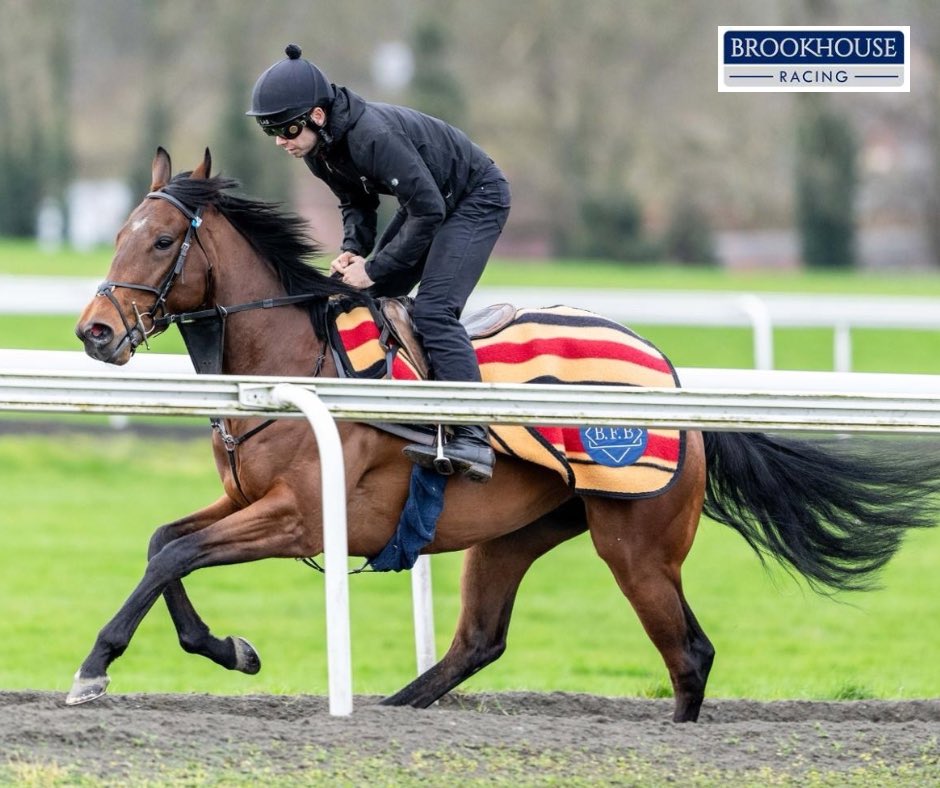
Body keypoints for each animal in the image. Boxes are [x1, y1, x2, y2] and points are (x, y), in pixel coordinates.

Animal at [73, 146, 940, 720]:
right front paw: (229, 649)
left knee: (689, 655)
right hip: (514, 533)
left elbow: (177, 553)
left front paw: (96, 664)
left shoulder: (301, 517)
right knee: (479, 640)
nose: (93, 332)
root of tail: (676, 386)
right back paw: (391, 707)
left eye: (160, 241)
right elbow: (164, 542)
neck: (296, 359)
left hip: (636, 544)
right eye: (117, 235)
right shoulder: (250, 501)